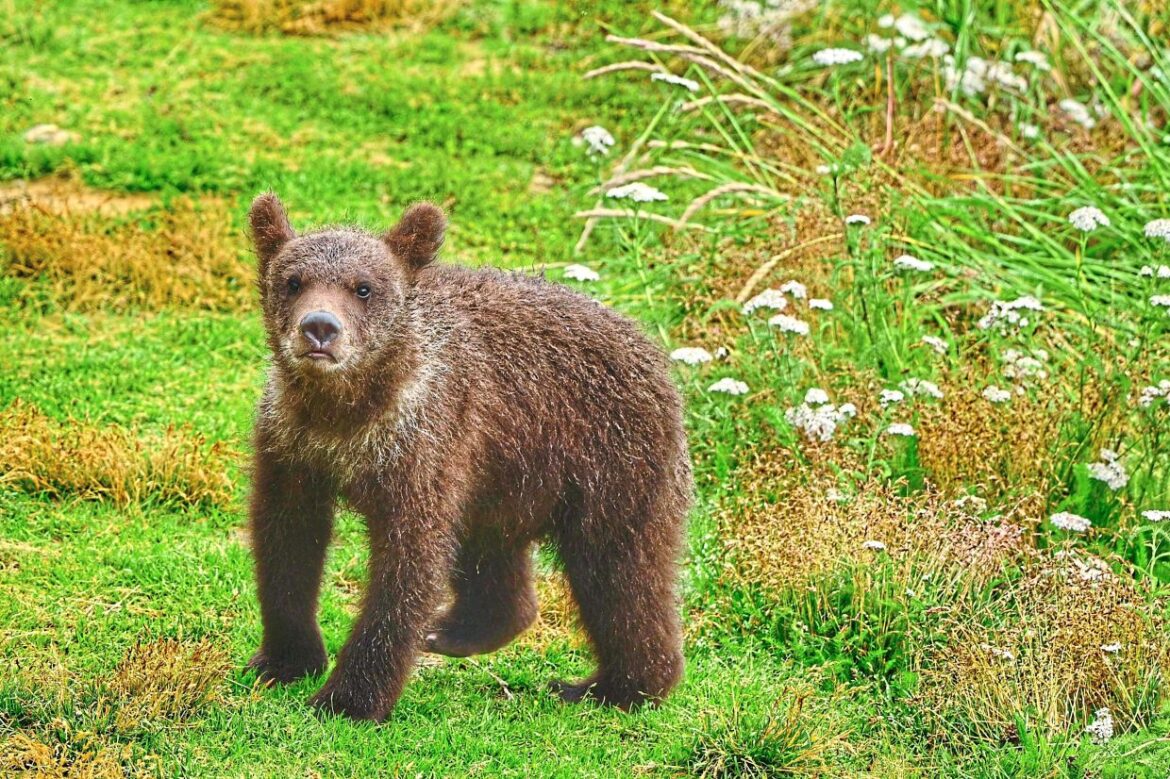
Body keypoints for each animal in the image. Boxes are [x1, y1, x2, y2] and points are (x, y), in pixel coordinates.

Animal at [244, 193, 692, 722]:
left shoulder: (422, 447)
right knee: (493, 552)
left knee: (620, 573)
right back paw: (457, 632)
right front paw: (285, 659)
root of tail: (656, 354)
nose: (319, 329)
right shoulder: (292, 448)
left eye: (363, 287)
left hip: (610, 463)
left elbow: (407, 567)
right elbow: (286, 544)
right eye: (293, 281)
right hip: (505, 474)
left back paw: (614, 686)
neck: (345, 414)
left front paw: (348, 698)